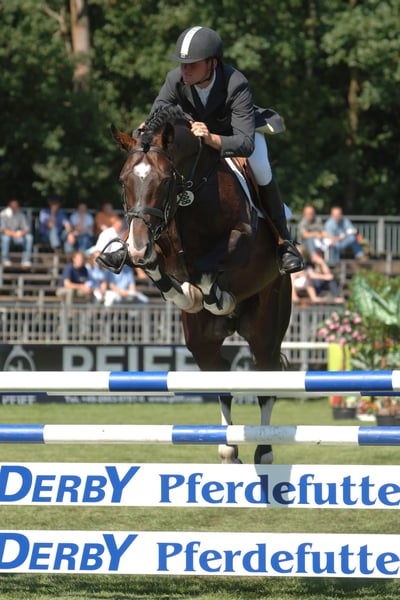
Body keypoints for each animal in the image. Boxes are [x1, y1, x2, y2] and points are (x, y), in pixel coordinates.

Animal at [107, 106, 292, 464]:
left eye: (165, 180)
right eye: (123, 181)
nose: (136, 245)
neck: (191, 193)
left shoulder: (241, 239)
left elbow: (206, 271)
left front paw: (212, 295)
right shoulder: (160, 248)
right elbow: (157, 268)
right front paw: (184, 293)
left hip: (265, 328)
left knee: (266, 380)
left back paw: (263, 450)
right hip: (202, 342)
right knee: (220, 376)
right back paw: (228, 448)